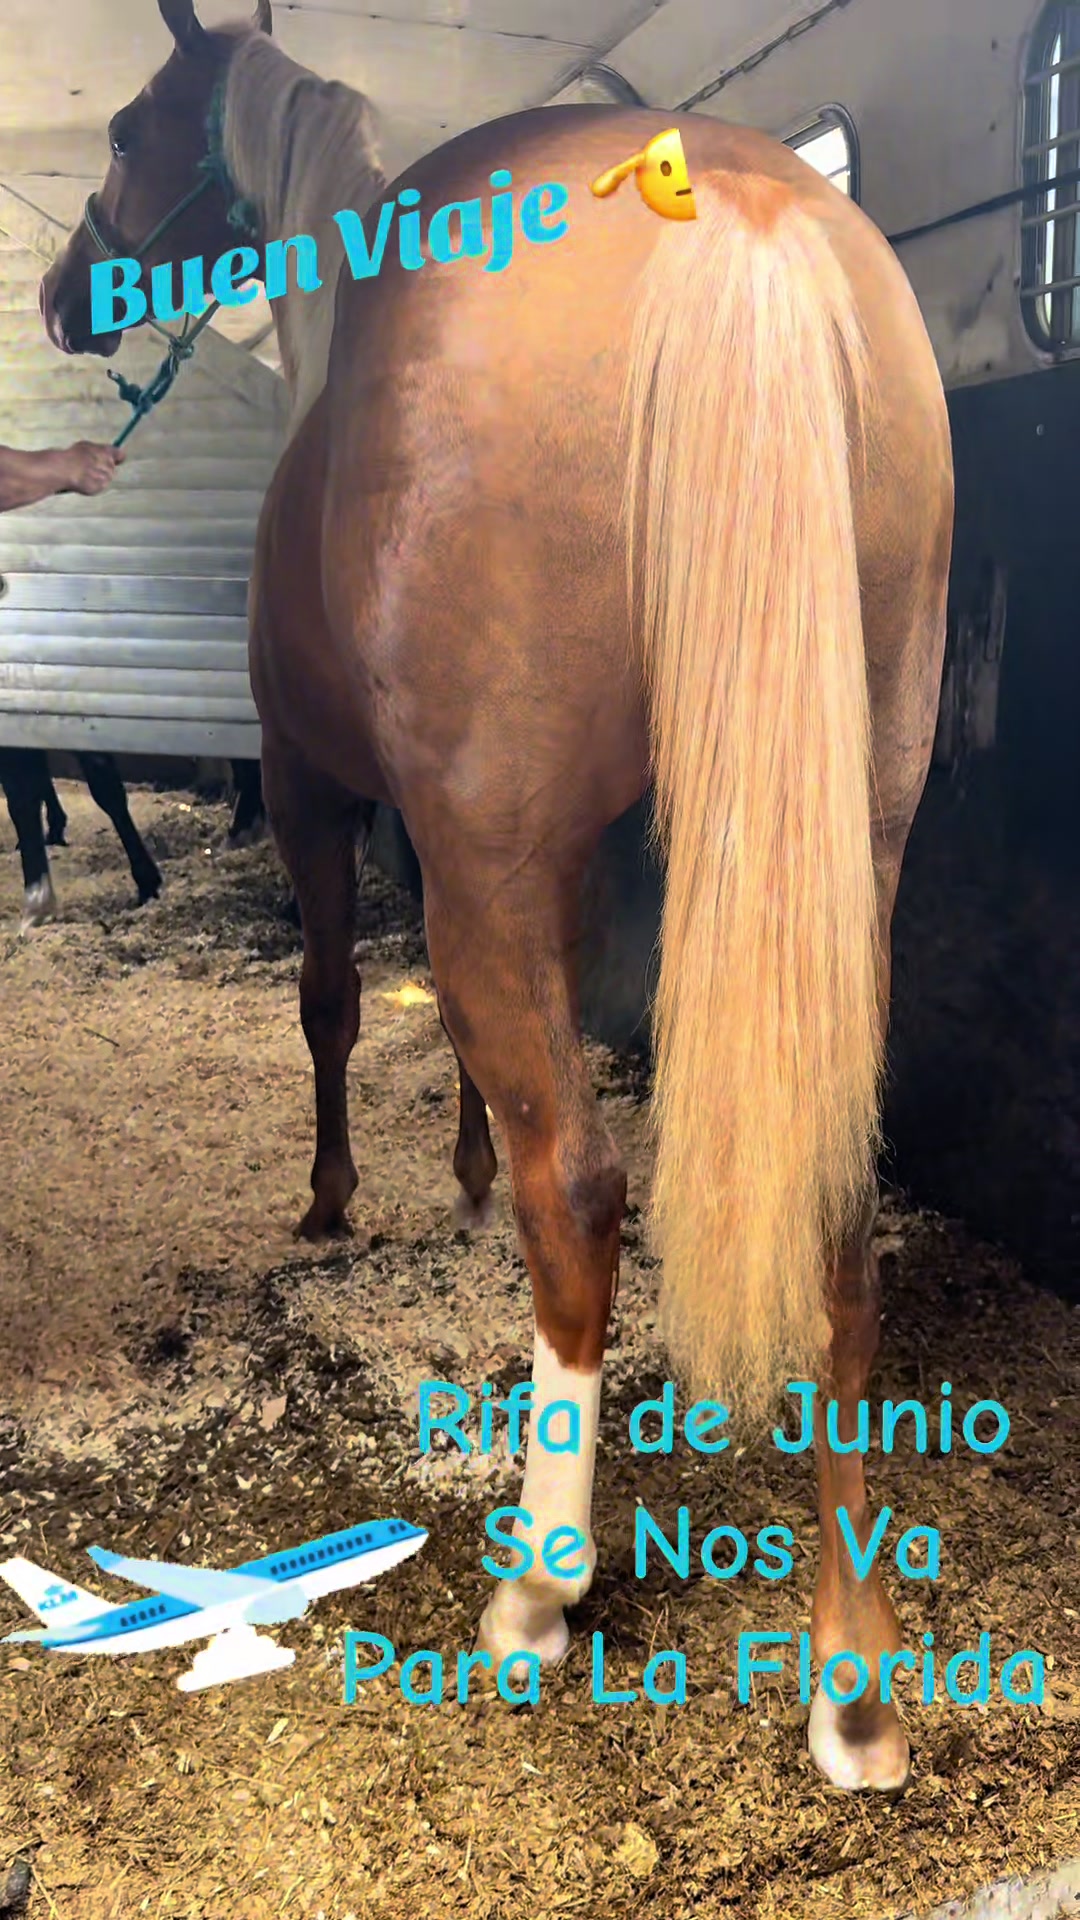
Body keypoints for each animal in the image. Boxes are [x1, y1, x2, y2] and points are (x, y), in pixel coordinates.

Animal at [41, 0, 953, 1793]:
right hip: (850, 842)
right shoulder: (541, 853)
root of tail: (728, 203)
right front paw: (455, 1171)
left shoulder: (339, 796)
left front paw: (336, 1196)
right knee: (825, 1203)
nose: (61, 292)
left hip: (488, 833)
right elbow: (476, 1057)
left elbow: (336, 1001)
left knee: (582, 1192)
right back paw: (853, 1685)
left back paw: (540, 1586)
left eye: (125, 127)